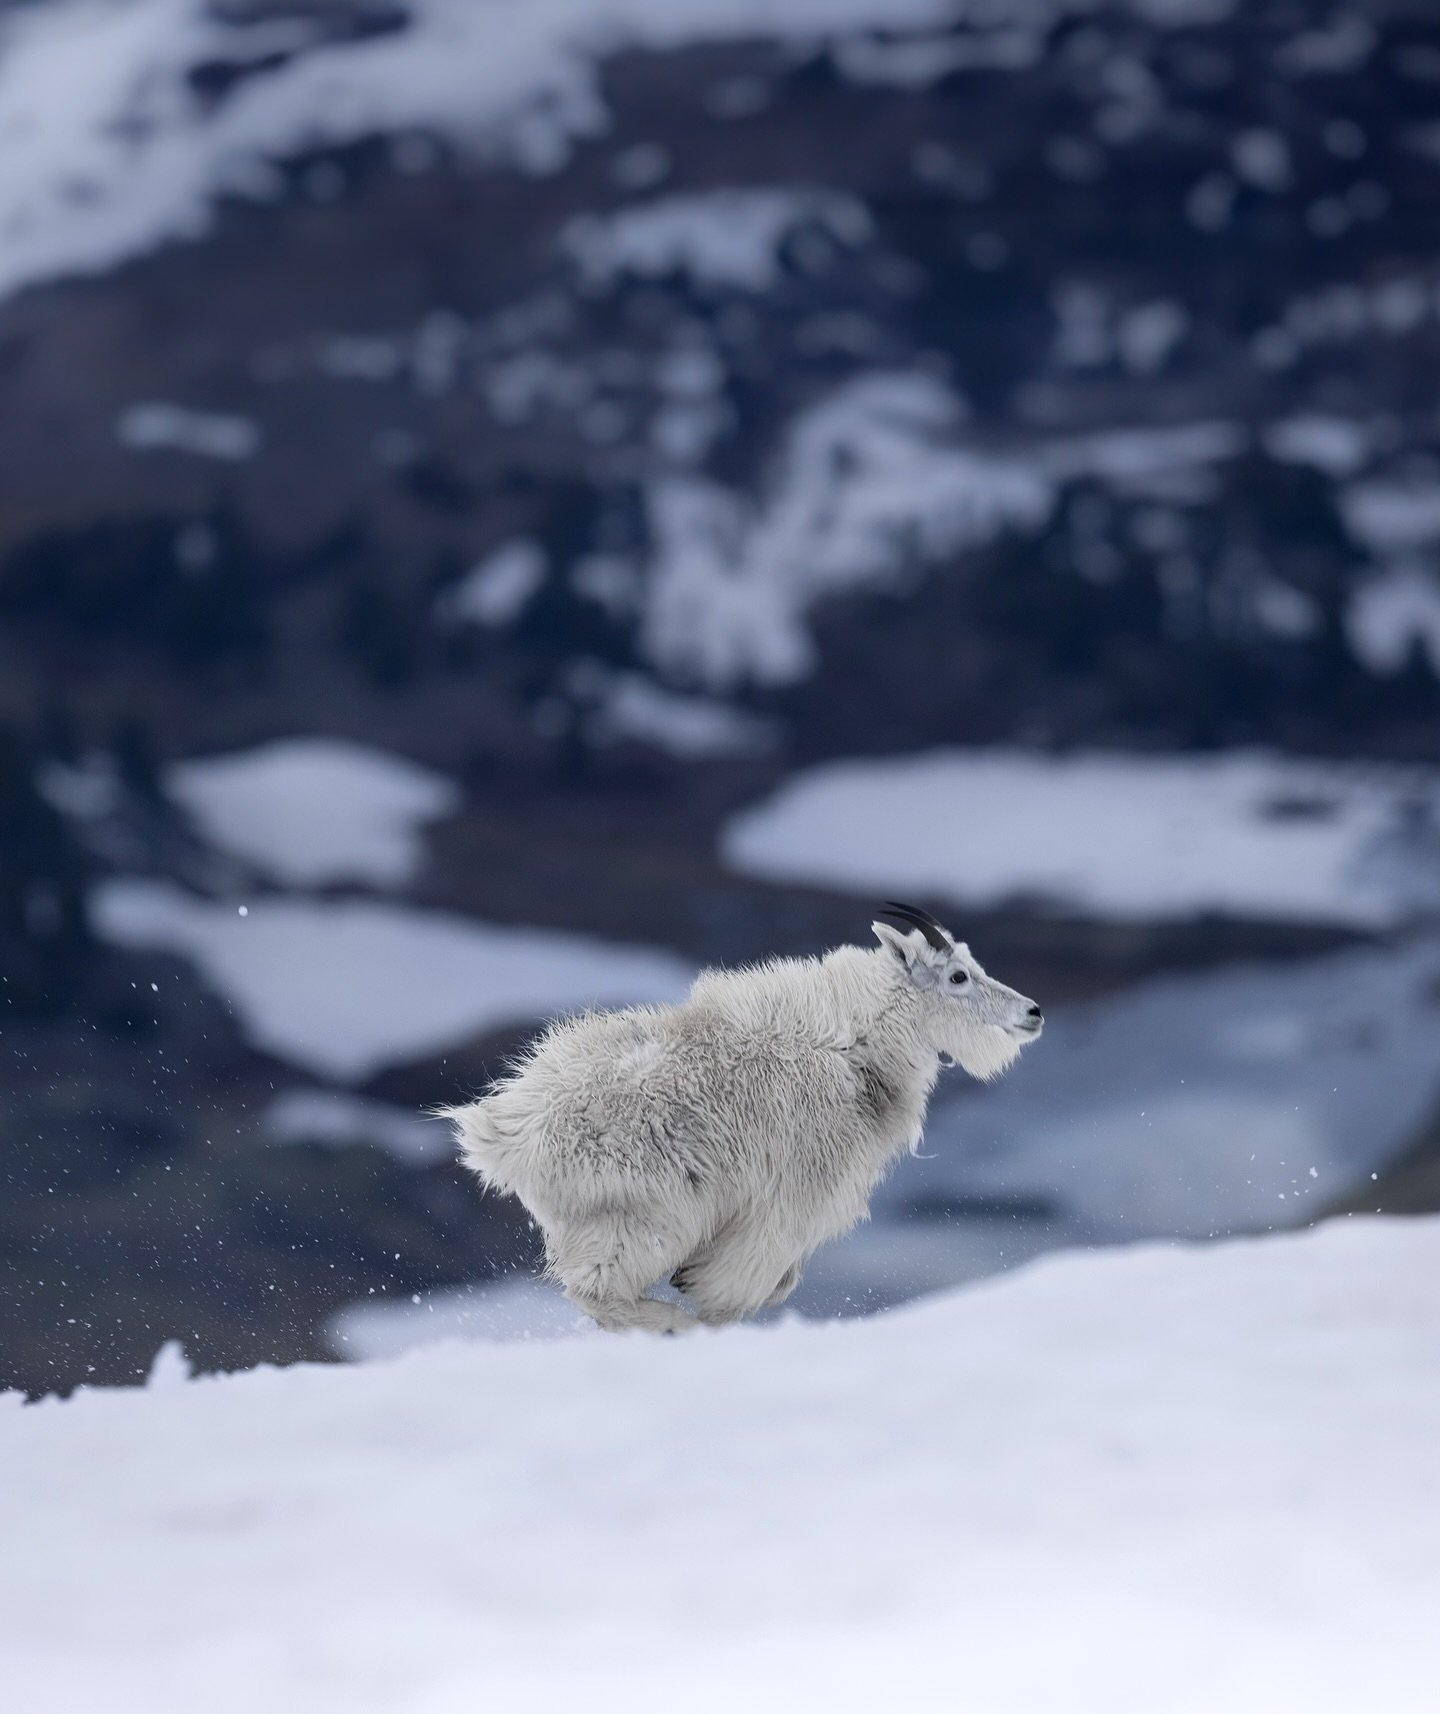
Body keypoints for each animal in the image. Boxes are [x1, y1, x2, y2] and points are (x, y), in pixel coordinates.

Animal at [445, 904, 1042, 1330]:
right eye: (958, 977)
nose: (1032, 1013)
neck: (858, 1047)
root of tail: (508, 1136)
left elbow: (778, 1281)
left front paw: (691, 1284)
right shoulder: (786, 1199)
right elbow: (746, 1282)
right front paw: (702, 1303)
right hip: (643, 1213)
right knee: (596, 1290)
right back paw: (673, 1326)